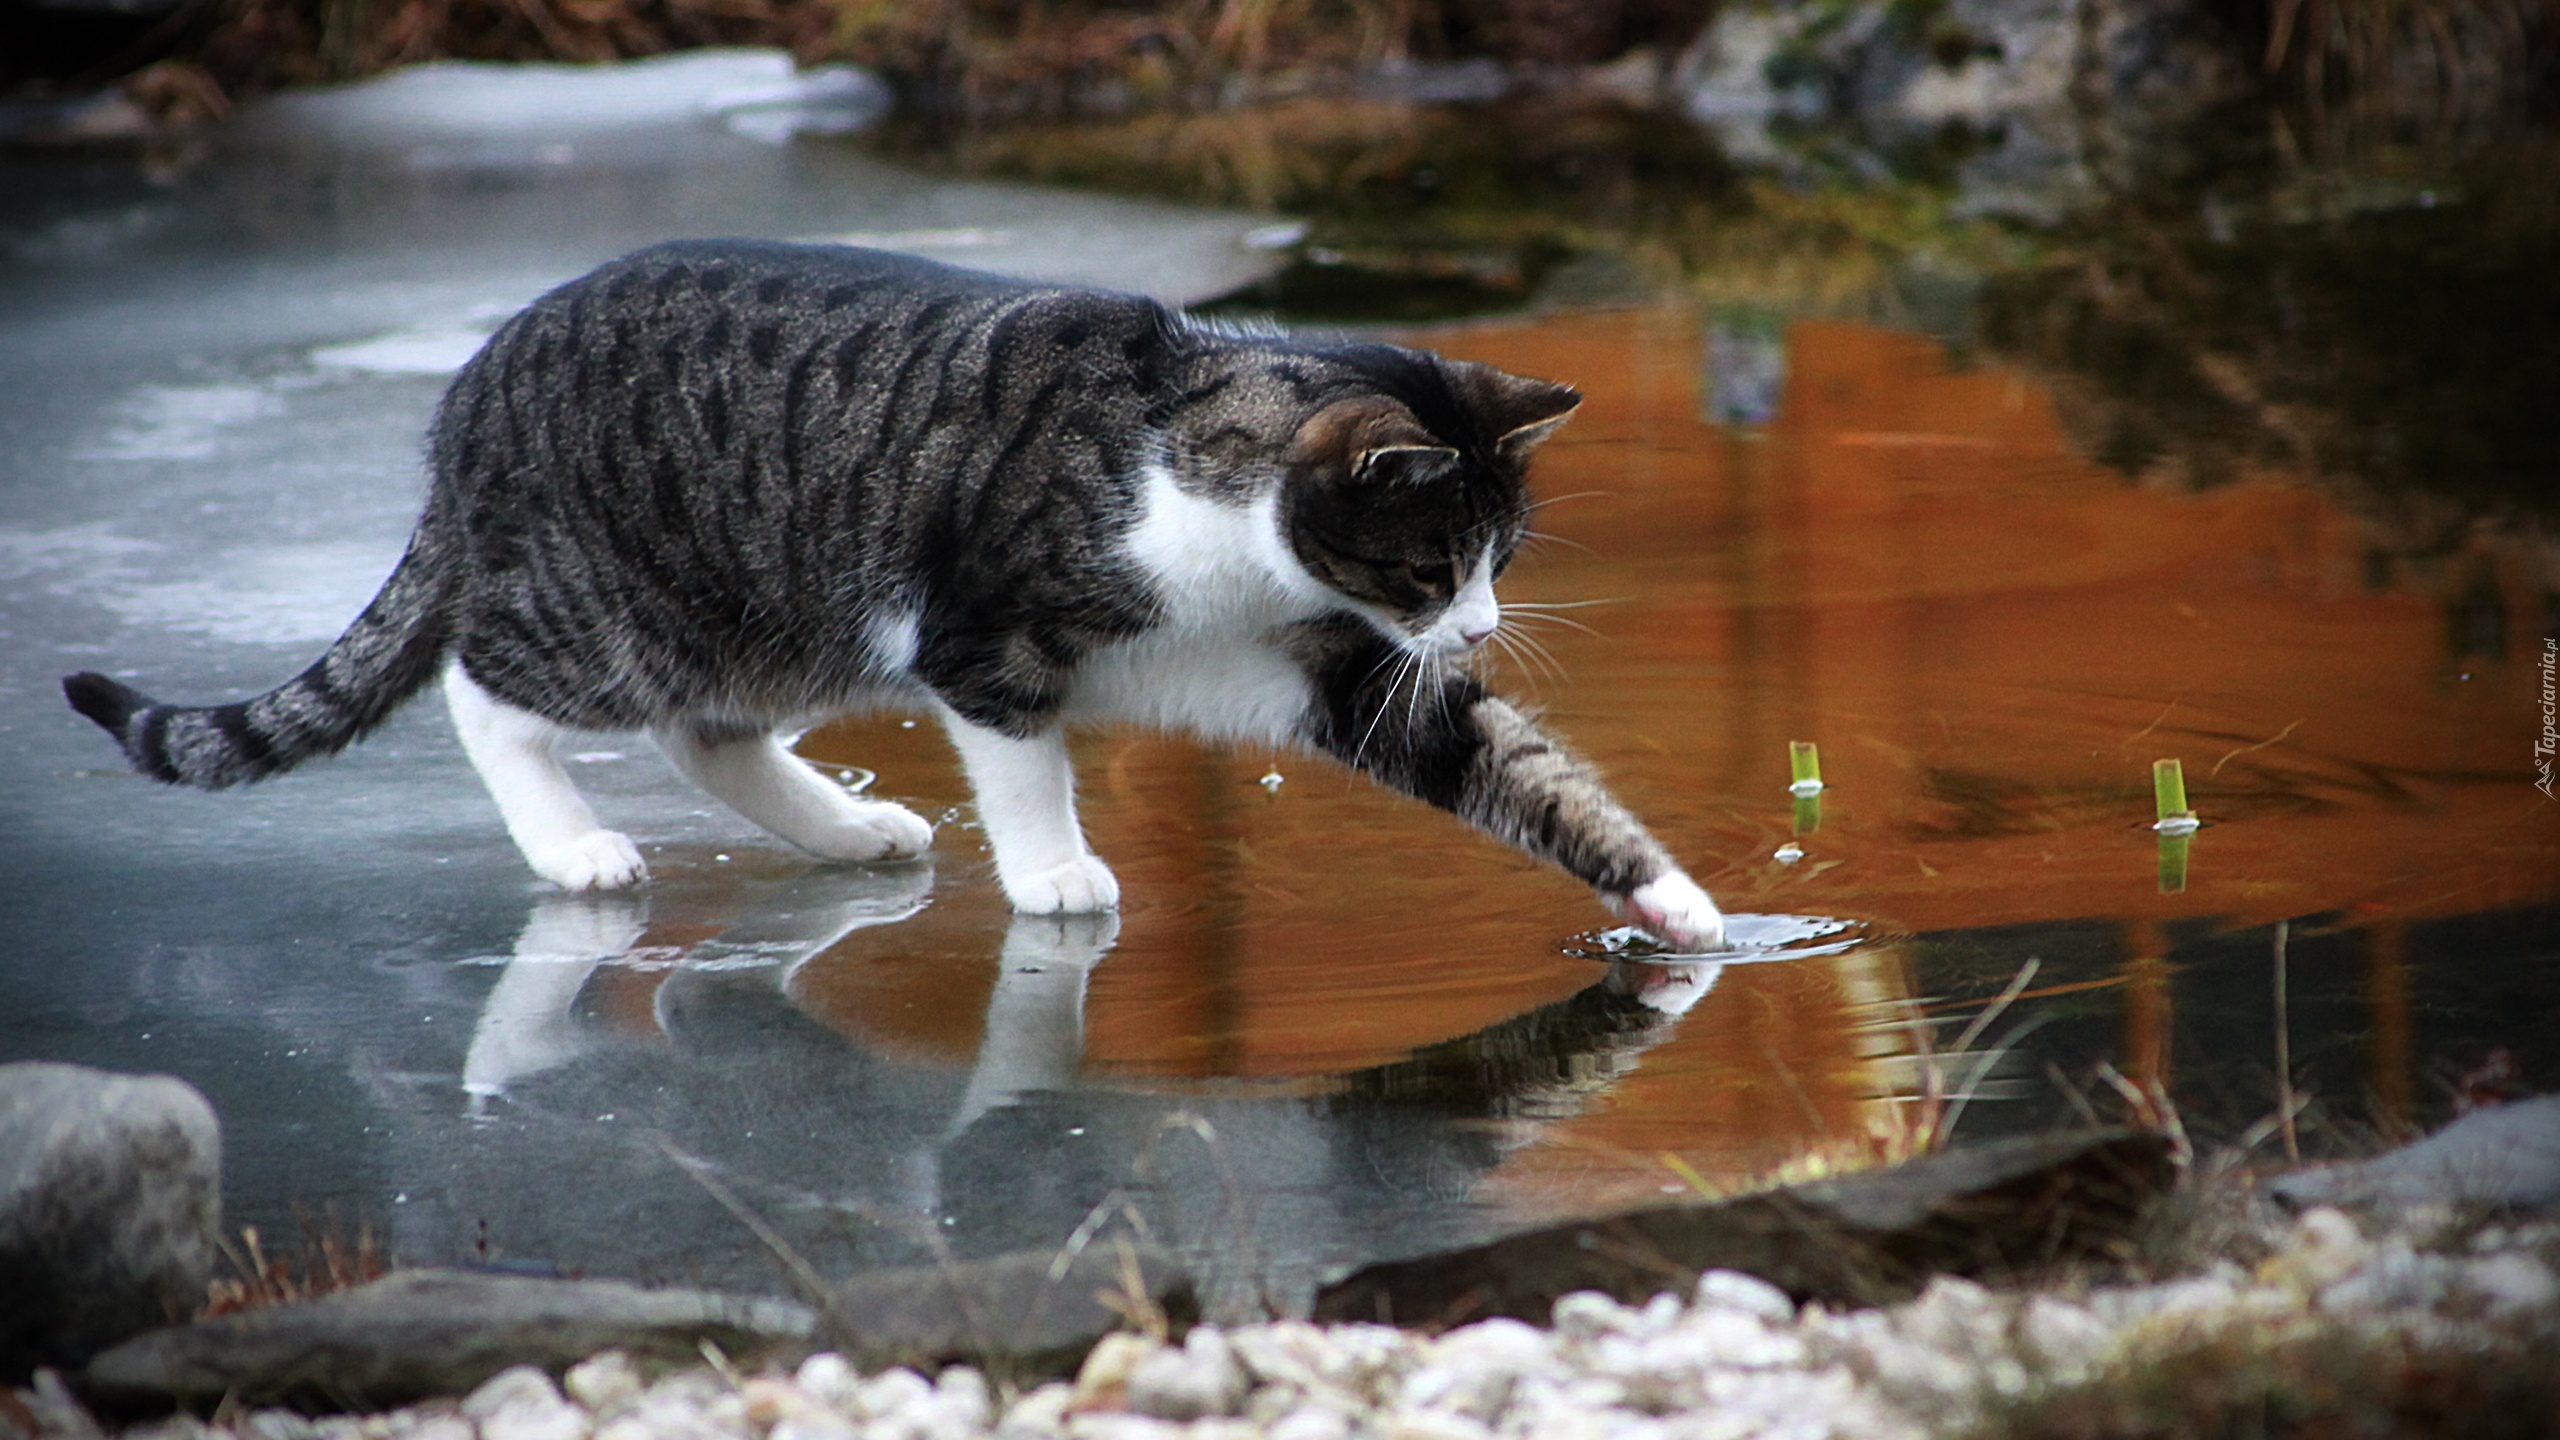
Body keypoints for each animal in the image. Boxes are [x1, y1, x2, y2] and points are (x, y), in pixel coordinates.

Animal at [64, 240, 1720, 948]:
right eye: (1435, 564)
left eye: (1501, 564)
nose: (1484, 626)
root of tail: (466, 402)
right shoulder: (982, 638)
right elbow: (1028, 763)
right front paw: (1057, 874)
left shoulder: (1333, 666)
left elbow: (1520, 769)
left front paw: (1687, 907)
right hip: (627, 604)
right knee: (491, 688)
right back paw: (575, 844)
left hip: (780, 624)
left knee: (708, 735)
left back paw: (850, 828)